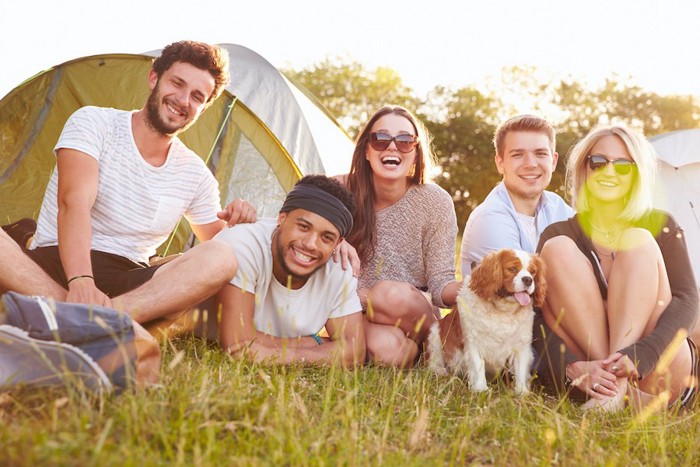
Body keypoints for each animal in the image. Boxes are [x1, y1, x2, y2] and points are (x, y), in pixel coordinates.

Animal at [426, 249, 548, 394]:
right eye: (512, 269)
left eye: (533, 271)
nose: (528, 280)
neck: (502, 311)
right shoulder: (474, 342)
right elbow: (478, 365)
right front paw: (480, 389)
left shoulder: (521, 345)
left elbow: (521, 369)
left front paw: (522, 391)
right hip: (435, 334)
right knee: (435, 360)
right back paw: (439, 371)